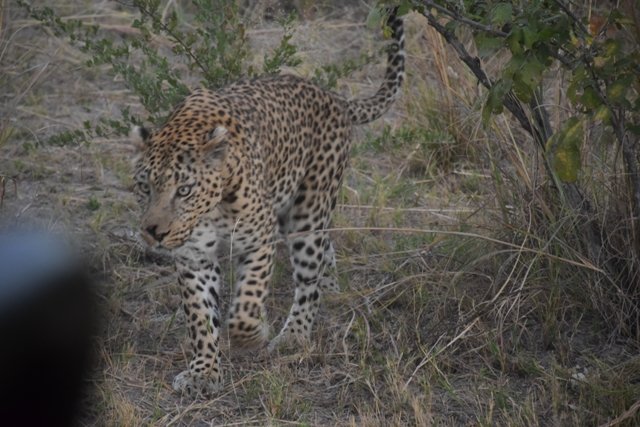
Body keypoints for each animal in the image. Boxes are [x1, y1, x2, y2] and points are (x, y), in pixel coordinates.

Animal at [131, 7, 404, 397]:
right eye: (145, 187)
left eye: (184, 190)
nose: (154, 233)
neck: (210, 210)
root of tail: (334, 97)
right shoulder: (194, 257)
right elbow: (200, 317)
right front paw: (203, 372)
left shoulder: (258, 240)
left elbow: (247, 300)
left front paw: (251, 335)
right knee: (325, 253)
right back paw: (332, 288)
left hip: (308, 212)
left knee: (308, 278)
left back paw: (294, 335)